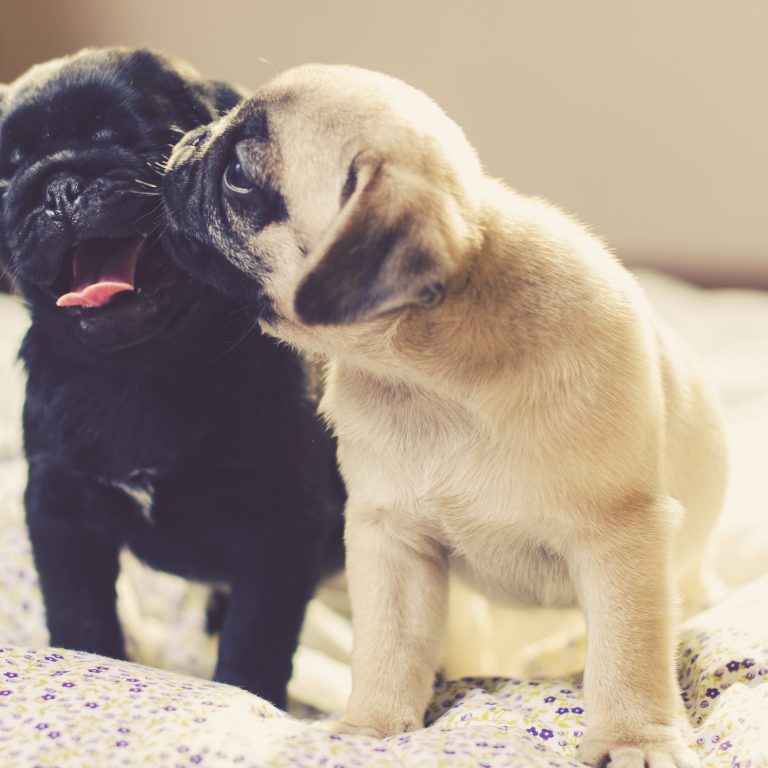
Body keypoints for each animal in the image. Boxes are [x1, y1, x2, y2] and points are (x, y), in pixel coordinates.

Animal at [0, 46, 344, 708]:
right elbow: (80, 613)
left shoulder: (283, 528)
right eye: (7, 173)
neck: (140, 372)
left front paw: (247, 697)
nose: (57, 187)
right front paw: (91, 660)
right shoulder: (61, 510)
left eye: (134, 138)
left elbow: (256, 639)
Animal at [162, 67, 728, 768]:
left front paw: (633, 740)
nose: (189, 140)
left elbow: (626, 657)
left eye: (239, 175)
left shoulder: (620, 539)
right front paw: (372, 728)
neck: (432, 378)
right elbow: (386, 648)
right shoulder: (394, 544)